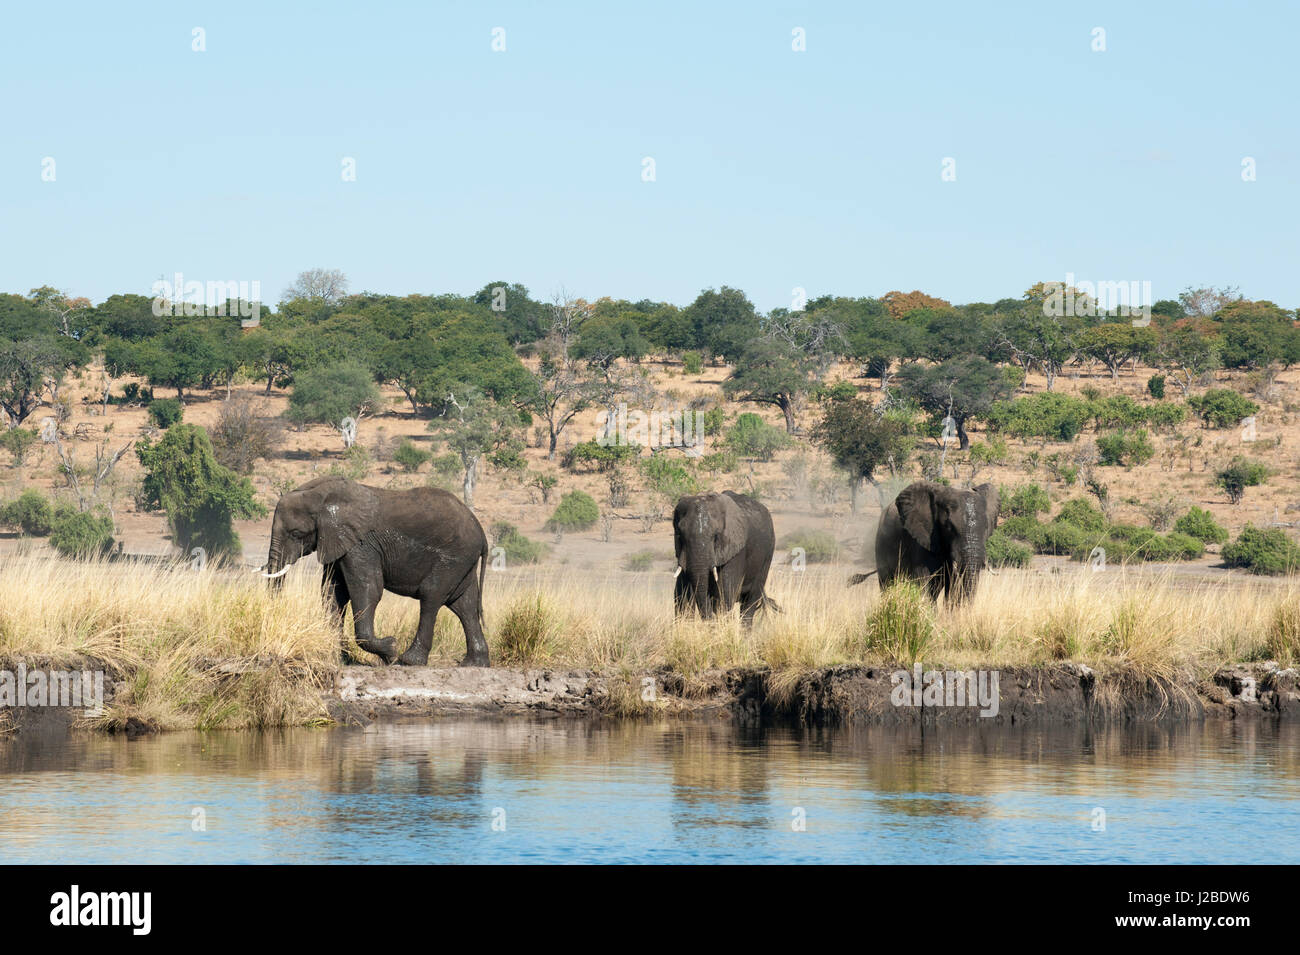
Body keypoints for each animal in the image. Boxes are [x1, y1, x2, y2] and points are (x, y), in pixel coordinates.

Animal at [258, 475, 491, 670]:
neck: (322, 496)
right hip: (463, 561)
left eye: (296, 534)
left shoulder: (361, 546)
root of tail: (481, 532)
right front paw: (339, 657)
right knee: (464, 605)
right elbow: (333, 594)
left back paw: (409, 661)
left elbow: (368, 590)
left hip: (453, 558)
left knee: (431, 596)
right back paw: (474, 664)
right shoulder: (338, 544)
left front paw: (391, 650)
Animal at [676, 488, 774, 623]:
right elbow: (682, 595)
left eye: (716, 536)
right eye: (680, 534)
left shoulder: (736, 550)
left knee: (751, 600)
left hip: (768, 553)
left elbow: (724, 594)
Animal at [847, 478, 998, 605]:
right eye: (949, 526)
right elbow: (925, 584)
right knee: (887, 584)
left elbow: (951, 589)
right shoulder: (922, 541)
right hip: (881, 543)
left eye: (986, 527)